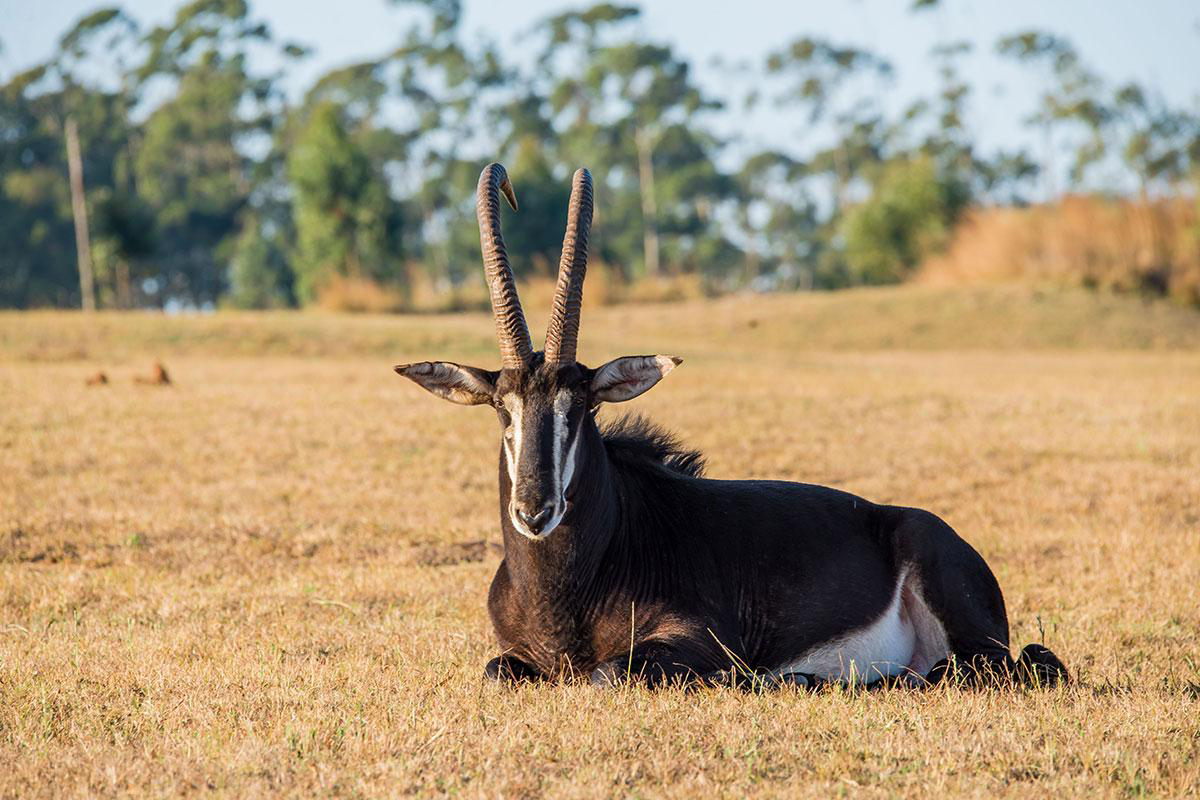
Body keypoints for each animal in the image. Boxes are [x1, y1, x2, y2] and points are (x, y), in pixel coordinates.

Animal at [395, 163, 1068, 689]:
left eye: (581, 406)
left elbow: (606, 673)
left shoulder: (696, 638)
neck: (567, 584)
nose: (535, 511)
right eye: (502, 408)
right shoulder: (511, 656)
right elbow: (496, 671)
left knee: (995, 668)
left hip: (965, 622)